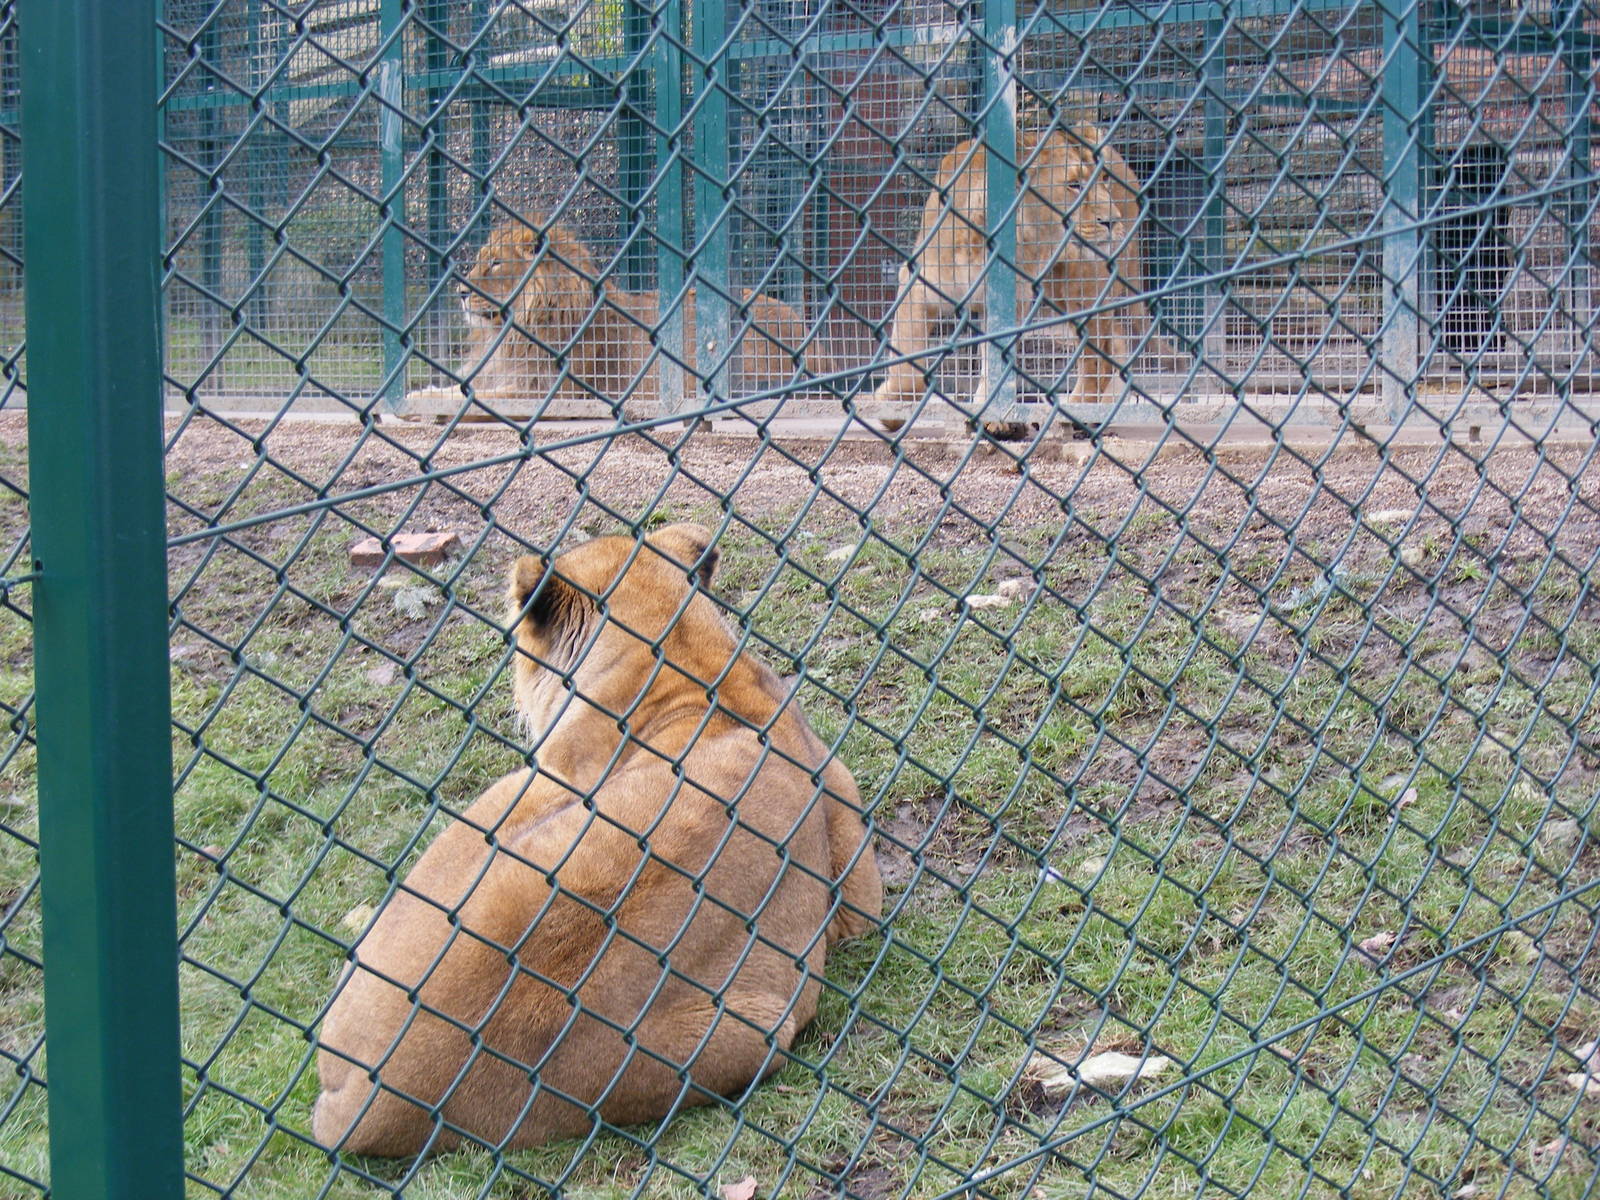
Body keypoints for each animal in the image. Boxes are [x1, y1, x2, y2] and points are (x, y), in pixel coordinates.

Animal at [868, 126, 1150, 430]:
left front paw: (992, 416)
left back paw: (1078, 412)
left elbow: (995, 366)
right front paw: (892, 409)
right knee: (1116, 342)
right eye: (1073, 184)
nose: (1112, 220)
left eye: (1104, 181)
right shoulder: (918, 287)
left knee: (1099, 355)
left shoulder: (1011, 303)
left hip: (1079, 287)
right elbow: (907, 365)